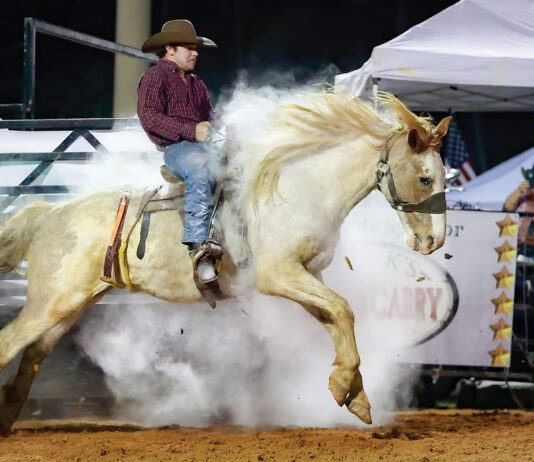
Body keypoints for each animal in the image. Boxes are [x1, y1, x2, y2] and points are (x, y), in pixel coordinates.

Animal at [0, 90, 452, 434]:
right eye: (425, 178)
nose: (435, 240)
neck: (299, 189)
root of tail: (50, 215)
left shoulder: (306, 275)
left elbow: (334, 316)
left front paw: (354, 396)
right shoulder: (278, 275)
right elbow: (342, 309)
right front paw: (344, 385)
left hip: (69, 304)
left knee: (32, 353)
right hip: (51, 302)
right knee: (11, 343)